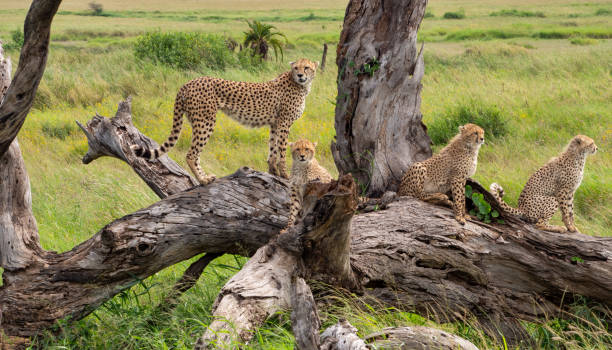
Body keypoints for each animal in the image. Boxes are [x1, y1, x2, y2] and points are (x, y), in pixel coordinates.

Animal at [131, 58, 318, 185]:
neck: (300, 85)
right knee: (192, 154)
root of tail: (189, 82)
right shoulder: (284, 123)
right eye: (296, 68)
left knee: (195, 154)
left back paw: (206, 177)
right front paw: (285, 175)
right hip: (205, 121)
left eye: (306, 67)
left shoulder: (275, 124)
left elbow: (272, 149)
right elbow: (282, 150)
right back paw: (203, 180)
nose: (300, 75)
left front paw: (273, 173)